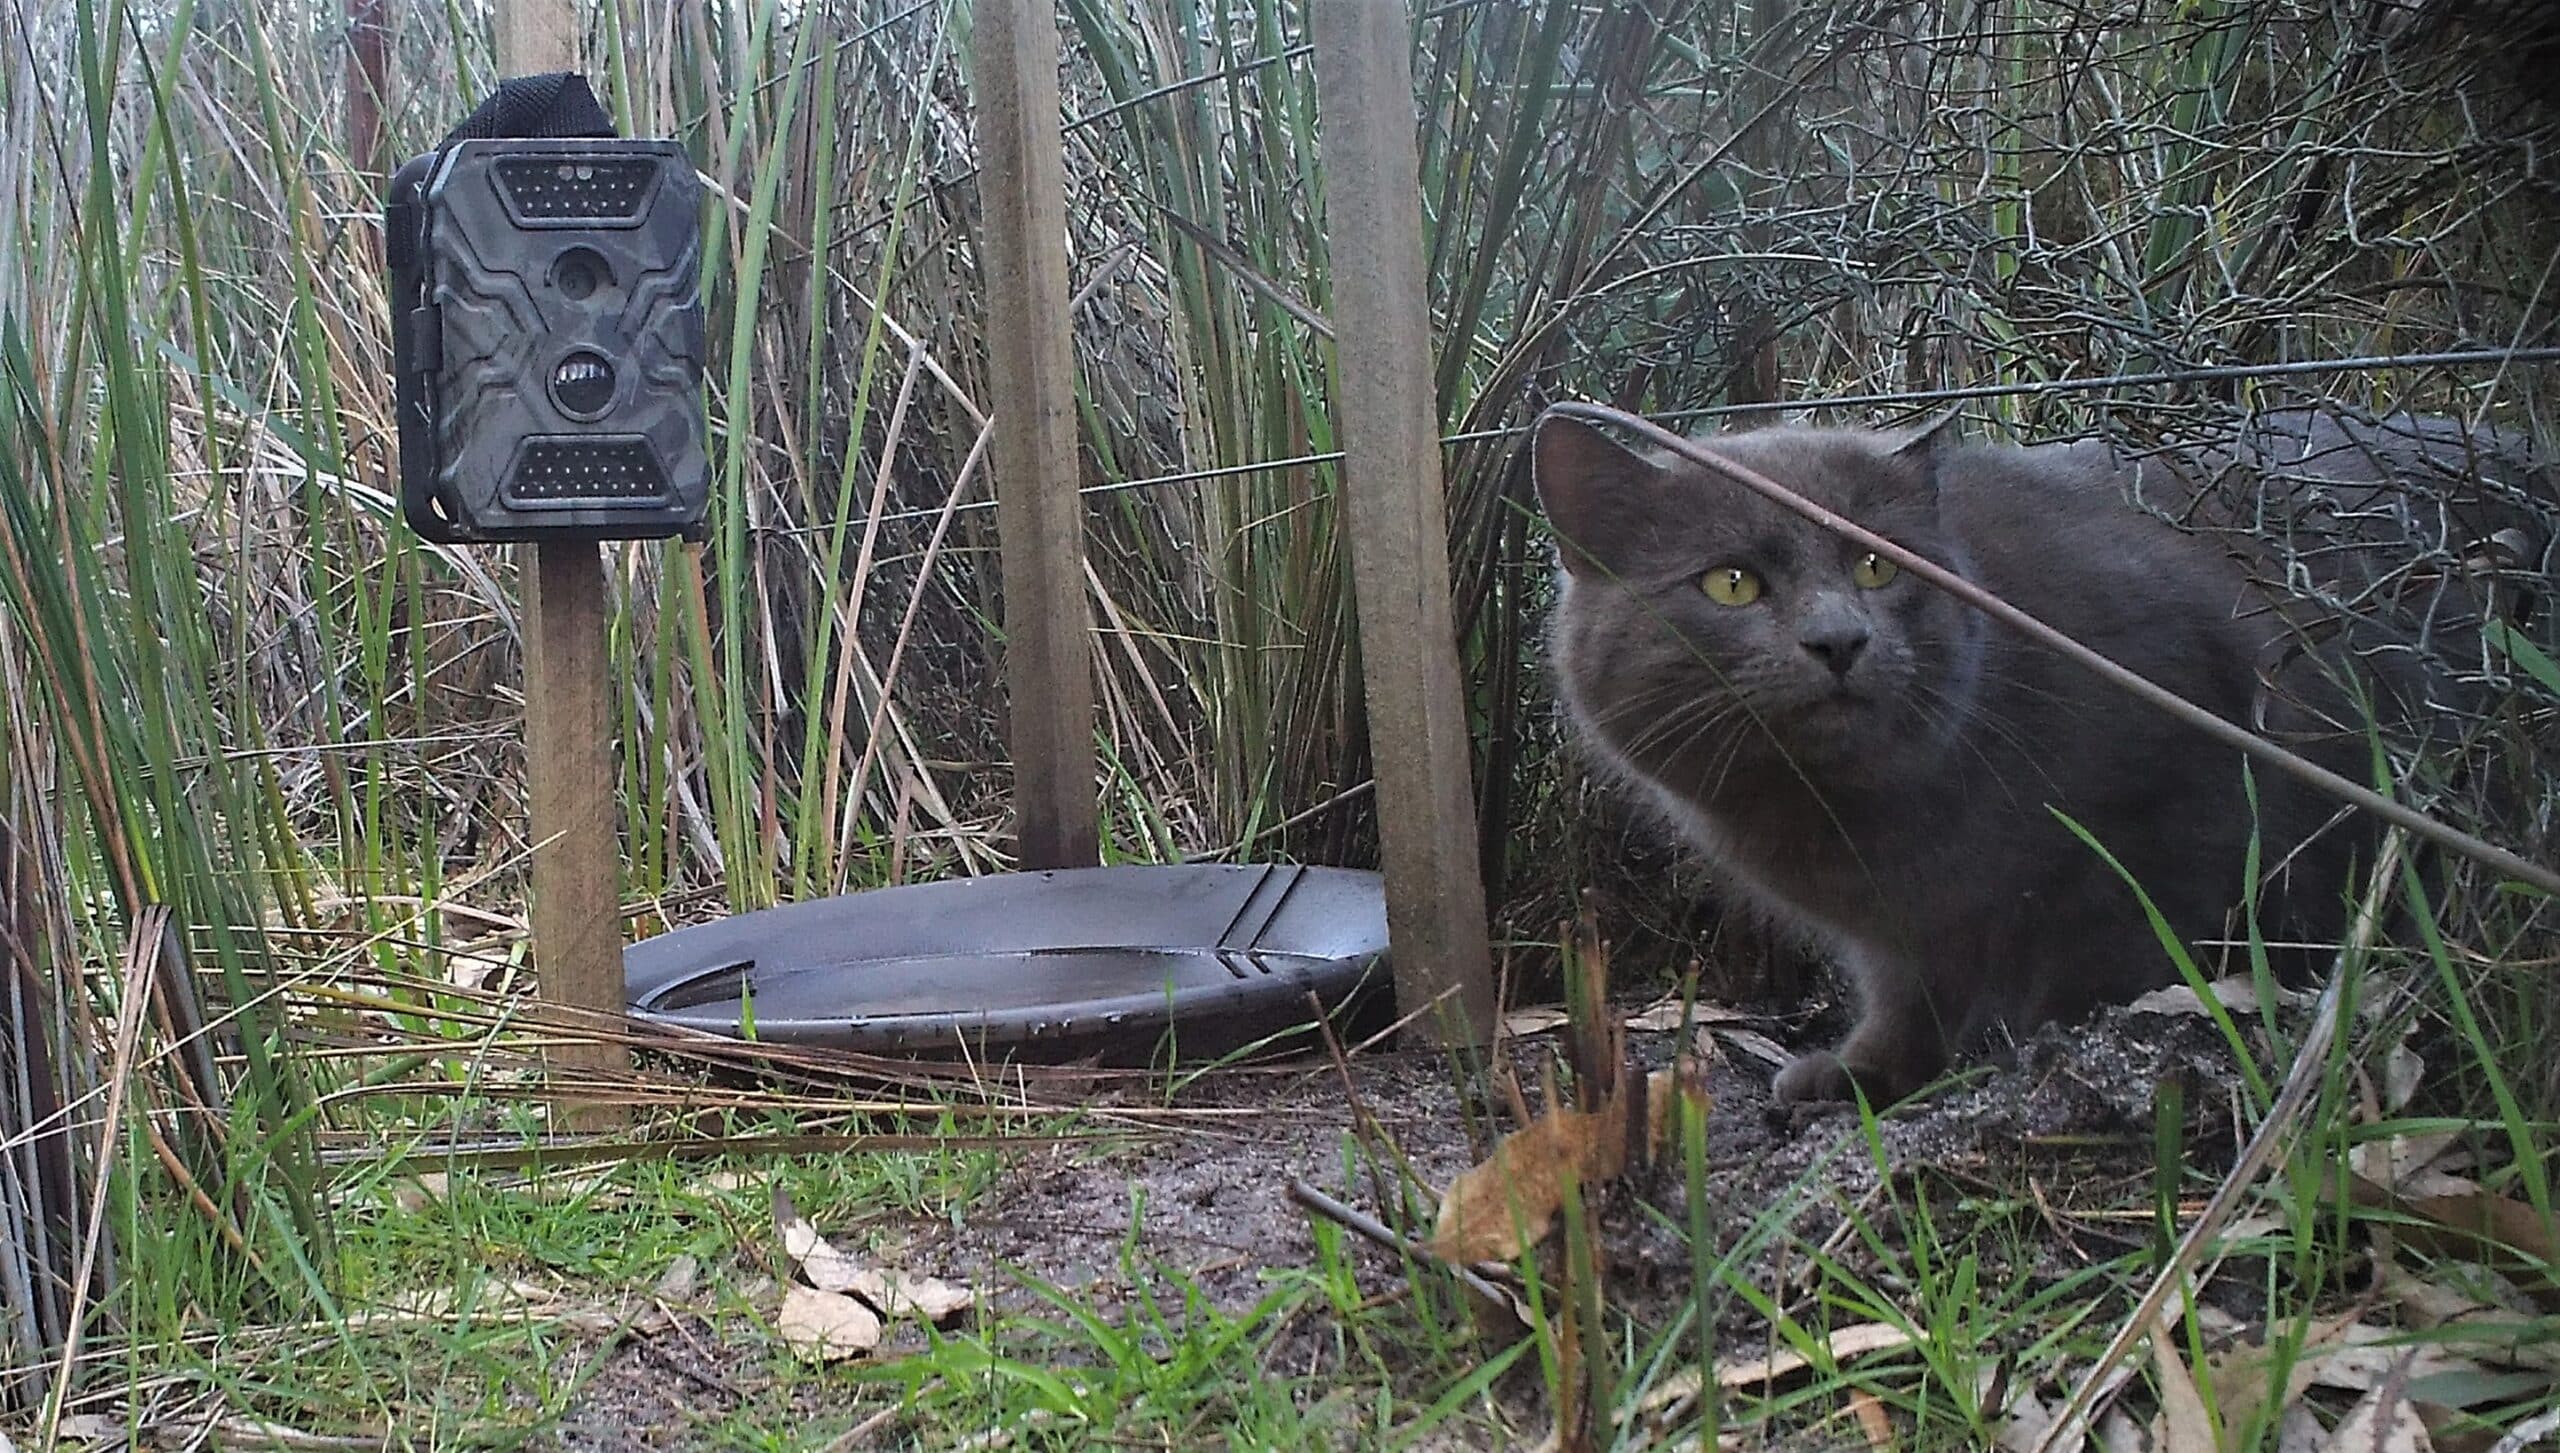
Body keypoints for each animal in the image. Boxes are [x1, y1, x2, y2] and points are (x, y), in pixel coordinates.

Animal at [1525, 404, 2529, 1105]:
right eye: (1731, 582)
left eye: (1878, 566)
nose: (1840, 638)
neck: (1863, 818)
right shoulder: (1901, 932)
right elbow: (1907, 983)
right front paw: (1868, 1070)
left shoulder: (2193, 774)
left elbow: (2117, 937)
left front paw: (2015, 1048)